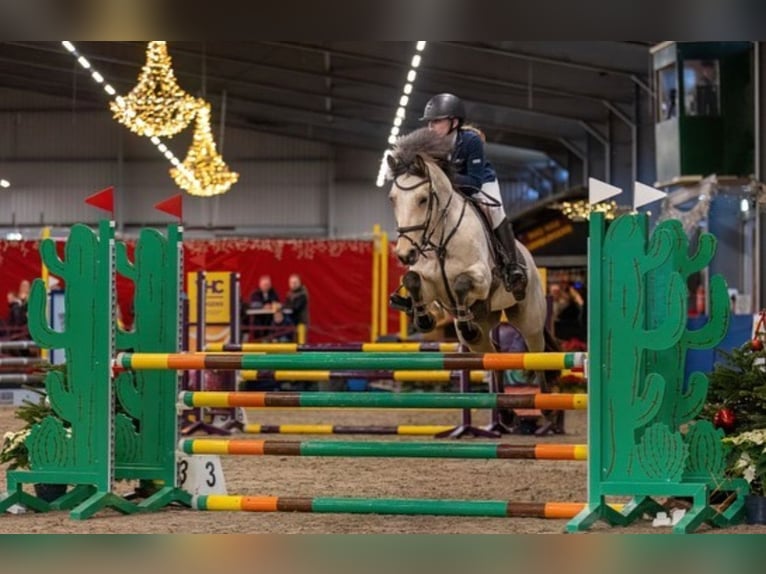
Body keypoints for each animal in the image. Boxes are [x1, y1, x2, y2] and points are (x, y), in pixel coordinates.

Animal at [388, 129, 560, 436]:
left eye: (423, 199)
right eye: (393, 198)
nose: (405, 254)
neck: (440, 238)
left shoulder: (481, 277)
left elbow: (460, 284)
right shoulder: (430, 284)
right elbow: (413, 279)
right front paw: (423, 318)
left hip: (527, 316)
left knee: (536, 351)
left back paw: (547, 409)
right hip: (484, 324)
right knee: (493, 355)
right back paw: (507, 415)